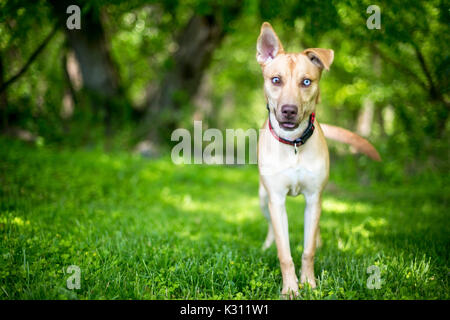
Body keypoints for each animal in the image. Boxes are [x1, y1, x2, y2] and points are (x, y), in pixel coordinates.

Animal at [256, 22, 380, 298]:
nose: (289, 110)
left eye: (306, 81)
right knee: (269, 225)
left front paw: (309, 284)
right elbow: (284, 252)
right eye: (276, 80)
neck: (293, 144)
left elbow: (308, 249)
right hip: (263, 197)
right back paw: (267, 244)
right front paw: (290, 288)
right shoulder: (276, 199)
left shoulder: (314, 198)